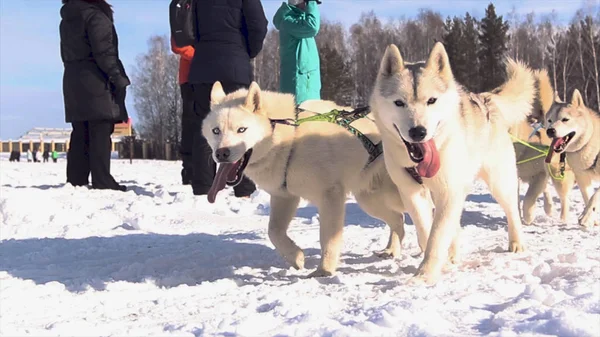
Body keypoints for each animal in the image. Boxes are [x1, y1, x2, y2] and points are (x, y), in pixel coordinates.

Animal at [202, 80, 412, 276]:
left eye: (241, 130)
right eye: (216, 130)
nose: (221, 153)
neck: (290, 140)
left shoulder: (331, 196)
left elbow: (328, 239)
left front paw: (324, 271)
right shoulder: (284, 196)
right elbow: (274, 232)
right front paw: (296, 257)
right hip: (369, 200)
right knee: (398, 219)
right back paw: (391, 250)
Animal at [370, 42, 536, 284]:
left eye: (431, 100)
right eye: (399, 102)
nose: (418, 132)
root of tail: (484, 99)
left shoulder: (449, 191)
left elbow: (437, 235)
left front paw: (425, 274)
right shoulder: (413, 194)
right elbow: (426, 230)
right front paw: (437, 262)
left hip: (498, 182)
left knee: (512, 211)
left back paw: (516, 243)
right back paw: (453, 255)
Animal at [508, 69, 576, 223]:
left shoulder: (539, 174)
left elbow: (528, 199)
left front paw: (528, 217)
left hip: (557, 174)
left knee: (563, 197)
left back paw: (562, 218)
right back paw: (549, 207)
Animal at [548, 88, 596, 227]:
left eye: (565, 119)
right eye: (549, 120)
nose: (550, 131)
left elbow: (594, 197)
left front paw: (585, 217)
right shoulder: (582, 178)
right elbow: (588, 198)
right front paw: (590, 218)